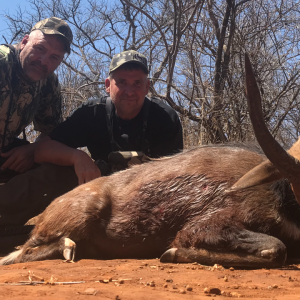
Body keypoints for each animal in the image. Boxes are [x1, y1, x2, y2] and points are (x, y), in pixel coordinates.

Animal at [0, 54, 300, 268]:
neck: (282, 193)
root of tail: (46, 213)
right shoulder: (205, 226)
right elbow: (277, 249)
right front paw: (173, 253)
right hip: (77, 218)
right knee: (23, 253)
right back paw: (67, 247)